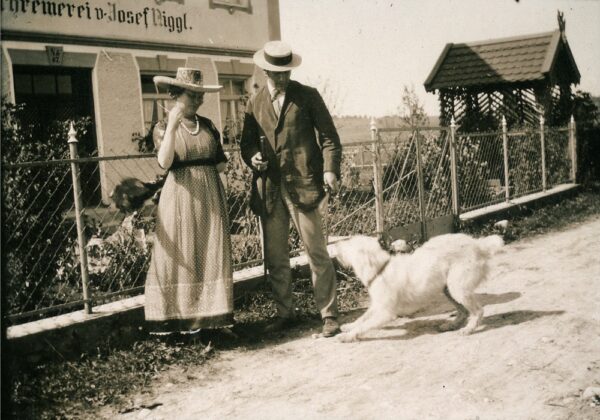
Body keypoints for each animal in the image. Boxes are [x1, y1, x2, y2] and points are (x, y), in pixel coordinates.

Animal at [330, 233, 504, 342]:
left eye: (348, 244)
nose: (335, 244)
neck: (380, 269)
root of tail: (478, 244)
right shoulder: (376, 306)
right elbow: (362, 318)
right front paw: (349, 326)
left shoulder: (385, 313)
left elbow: (364, 326)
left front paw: (347, 336)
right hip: (448, 289)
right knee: (463, 311)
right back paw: (451, 325)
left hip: (458, 288)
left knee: (477, 311)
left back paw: (469, 329)